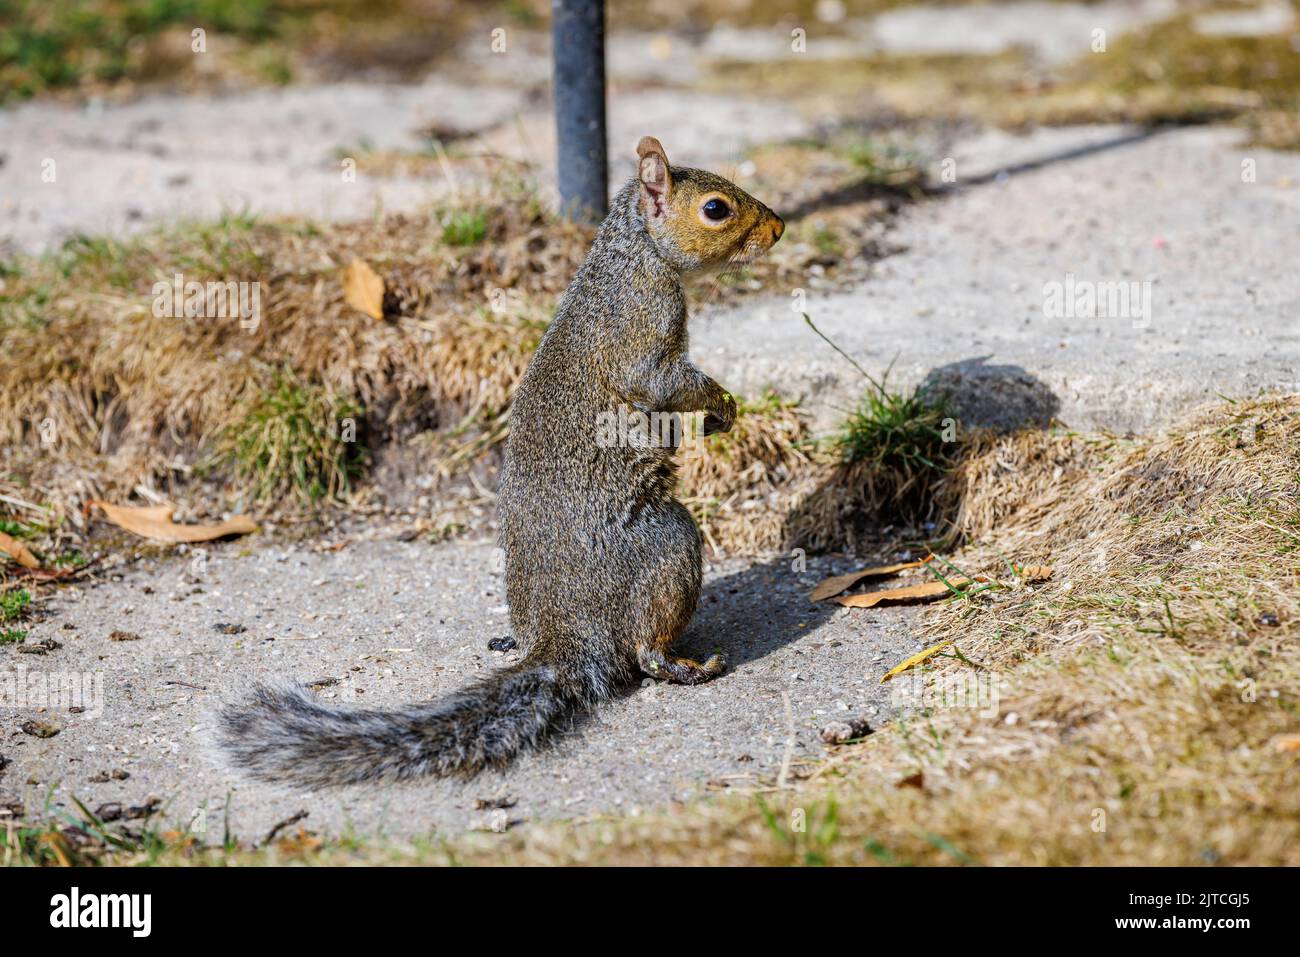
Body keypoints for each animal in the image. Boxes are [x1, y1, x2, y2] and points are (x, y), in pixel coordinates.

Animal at [215, 140, 780, 785]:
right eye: (715, 209)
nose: (779, 228)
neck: (633, 260)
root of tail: (567, 636)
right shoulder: (642, 334)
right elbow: (663, 382)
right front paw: (722, 406)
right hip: (669, 545)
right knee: (644, 651)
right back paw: (685, 664)